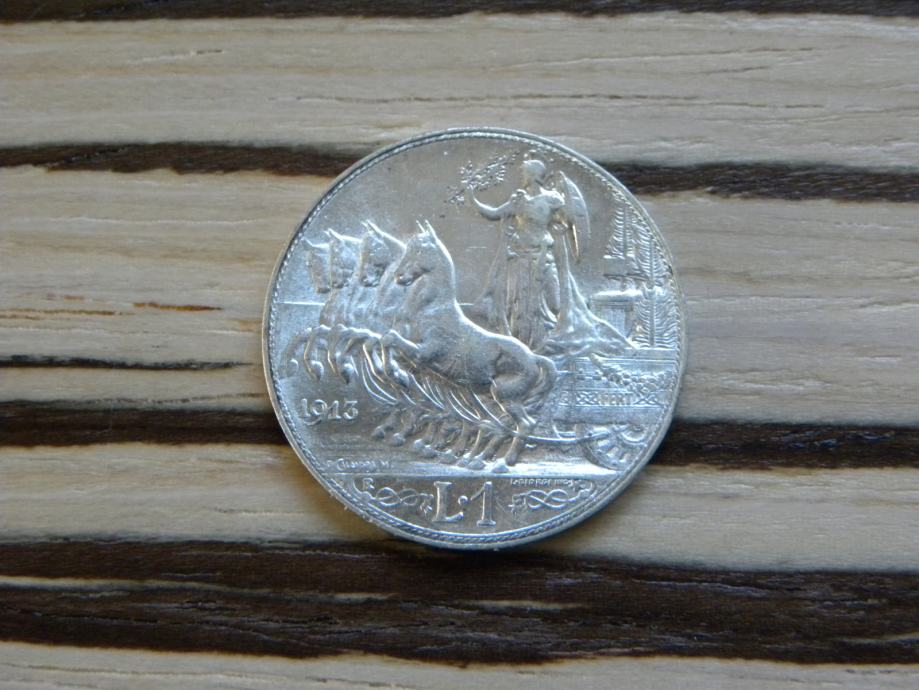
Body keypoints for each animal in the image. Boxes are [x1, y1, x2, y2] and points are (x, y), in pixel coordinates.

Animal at [381, 221, 557, 469]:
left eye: (420, 250)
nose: (399, 275)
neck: (430, 309)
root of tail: (533, 358)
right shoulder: (421, 366)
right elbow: (388, 340)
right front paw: (399, 375)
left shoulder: (425, 353)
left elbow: (390, 338)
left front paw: (396, 375)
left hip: (504, 395)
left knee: (523, 424)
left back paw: (501, 462)